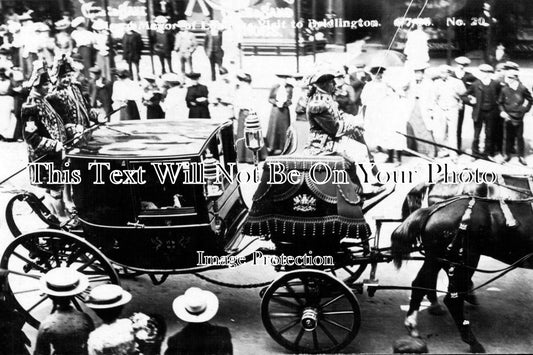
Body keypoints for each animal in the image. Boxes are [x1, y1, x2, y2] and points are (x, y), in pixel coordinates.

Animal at [388, 197, 532, 354]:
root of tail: (433, 209)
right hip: (463, 261)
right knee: (453, 300)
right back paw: (473, 342)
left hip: (436, 258)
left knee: (420, 284)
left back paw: (412, 324)